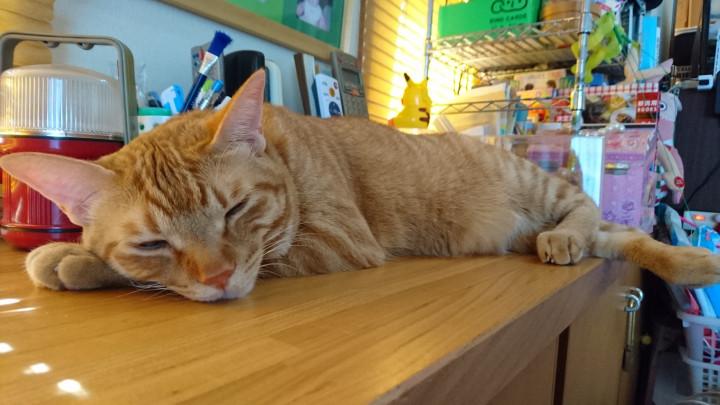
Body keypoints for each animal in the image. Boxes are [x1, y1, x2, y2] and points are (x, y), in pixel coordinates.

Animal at [1, 70, 719, 302]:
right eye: (153, 241)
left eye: (235, 210)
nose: (218, 279)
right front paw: (82, 256)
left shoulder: (337, 242)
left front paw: (73, 257)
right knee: (622, 238)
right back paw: (690, 260)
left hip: (542, 191)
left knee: (588, 209)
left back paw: (572, 239)